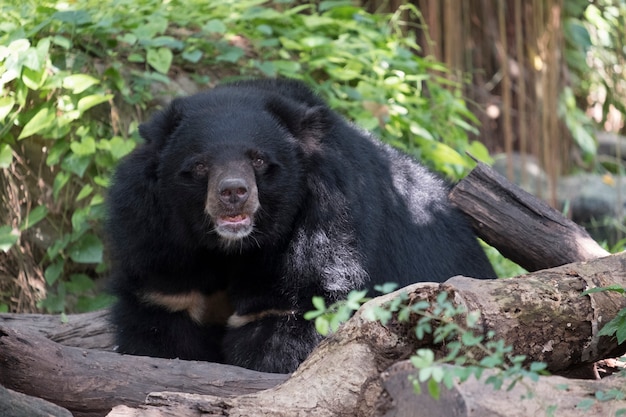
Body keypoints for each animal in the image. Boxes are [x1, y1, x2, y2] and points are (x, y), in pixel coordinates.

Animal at [108, 76, 498, 372]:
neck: (231, 249)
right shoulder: (158, 245)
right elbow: (161, 323)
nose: (233, 192)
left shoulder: (322, 231)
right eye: (201, 165)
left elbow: (290, 320)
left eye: (259, 159)